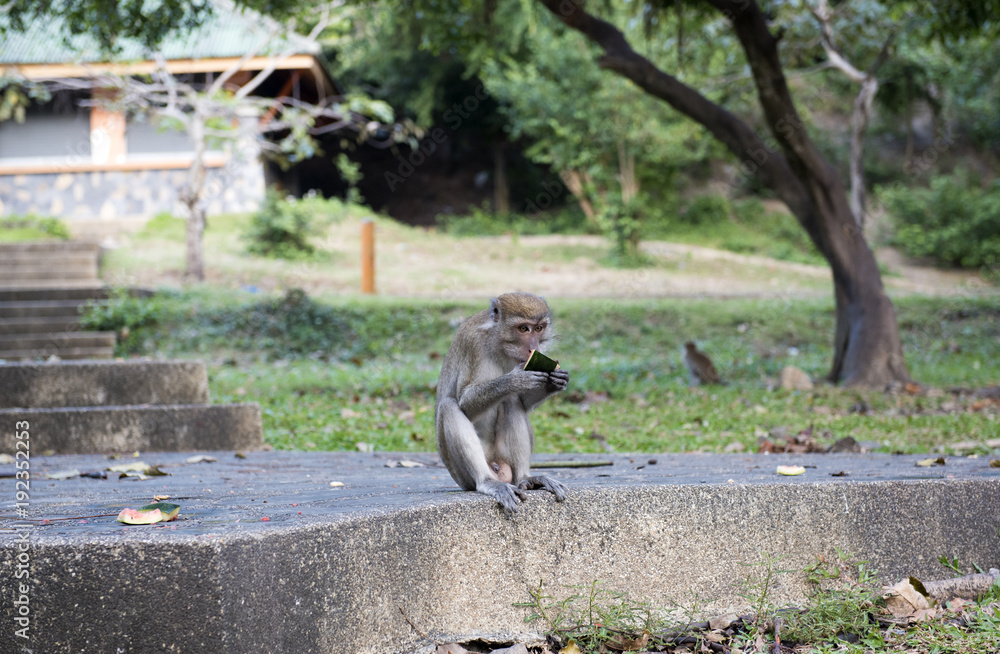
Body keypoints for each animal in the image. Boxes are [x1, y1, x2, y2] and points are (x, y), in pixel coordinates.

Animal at [435, 292, 569, 514]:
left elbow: (522, 401)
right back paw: (488, 482)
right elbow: (464, 402)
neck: (499, 343)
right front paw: (515, 380)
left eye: (538, 328)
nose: (534, 348)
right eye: (523, 329)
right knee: (448, 407)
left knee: (511, 401)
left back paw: (527, 478)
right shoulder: (473, 344)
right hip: (462, 475)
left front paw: (556, 381)